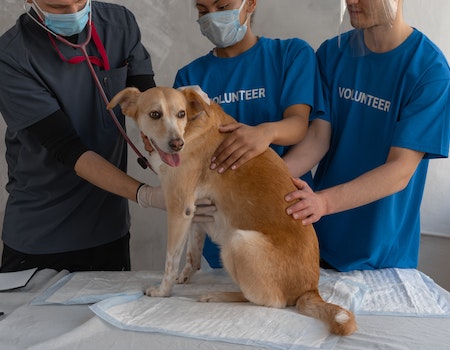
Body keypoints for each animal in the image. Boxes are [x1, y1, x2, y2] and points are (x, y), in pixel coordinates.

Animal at [107, 86, 356, 334]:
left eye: (181, 114)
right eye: (155, 114)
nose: (177, 144)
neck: (191, 126)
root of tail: (310, 290)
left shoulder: (179, 209)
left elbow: (170, 260)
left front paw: (162, 291)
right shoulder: (195, 212)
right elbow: (191, 254)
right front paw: (184, 276)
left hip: (238, 241)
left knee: (270, 301)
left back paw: (219, 295)